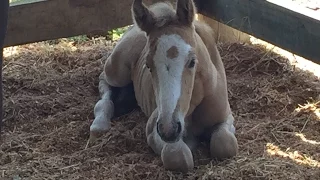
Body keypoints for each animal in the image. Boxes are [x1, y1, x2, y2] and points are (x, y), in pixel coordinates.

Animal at [89, 0, 238, 172]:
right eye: (148, 65)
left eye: (192, 61)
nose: (169, 129)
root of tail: (157, 7)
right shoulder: (153, 130)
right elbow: (178, 156)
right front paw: (190, 143)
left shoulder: (226, 117)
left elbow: (225, 144)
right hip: (117, 70)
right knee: (104, 80)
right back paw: (100, 123)